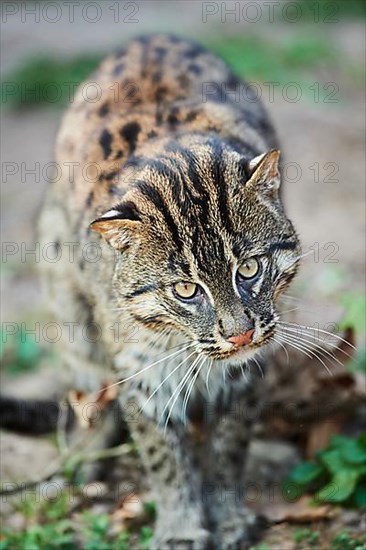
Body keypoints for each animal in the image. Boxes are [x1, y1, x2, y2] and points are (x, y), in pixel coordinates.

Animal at [36, 35, 300, 550]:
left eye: (250, 268)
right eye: (185, 289)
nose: (240, 335)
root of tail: (150, 36)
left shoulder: (248, 370)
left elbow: (228, 446)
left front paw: (228, 516)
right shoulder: (138, 368)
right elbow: (163, 456)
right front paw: (180, 526)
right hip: (62, 290)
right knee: (88, 398)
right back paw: (81, 462)